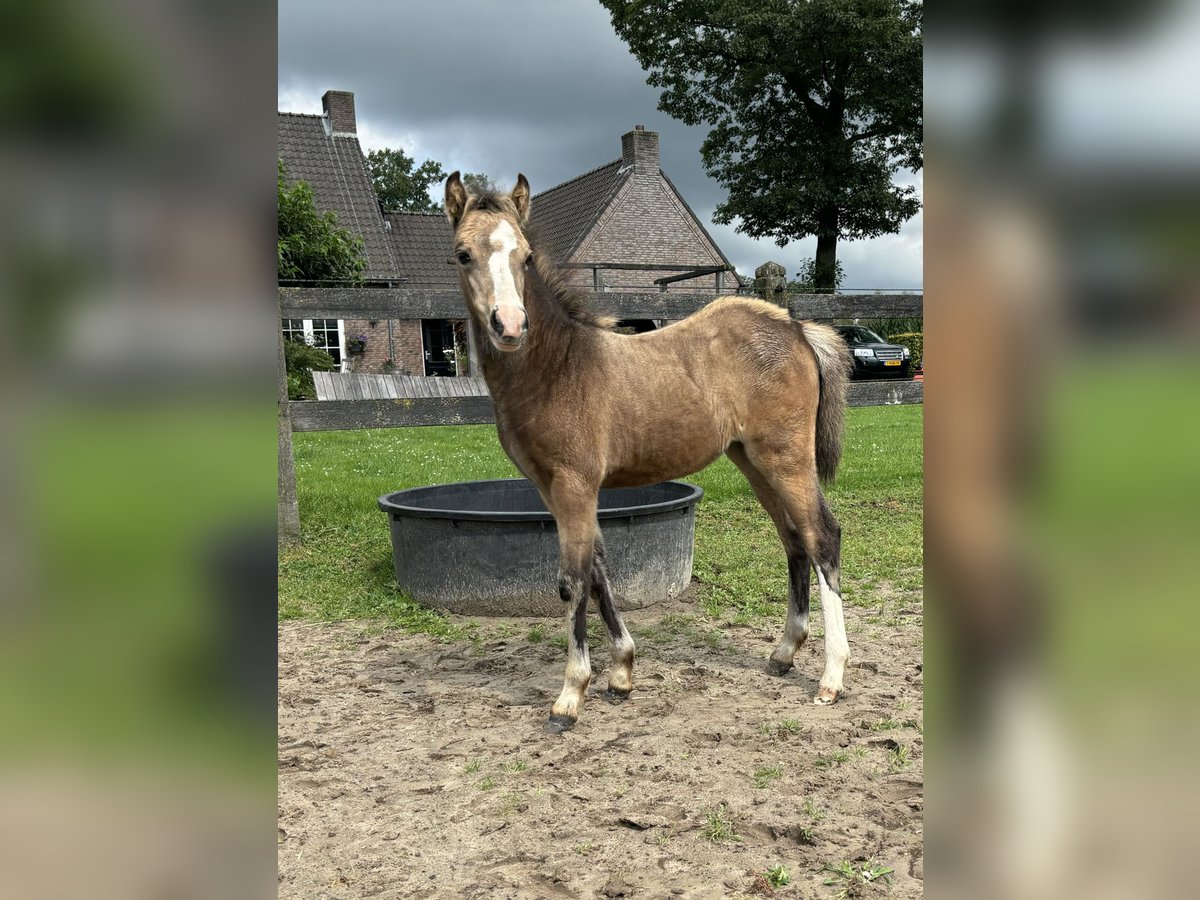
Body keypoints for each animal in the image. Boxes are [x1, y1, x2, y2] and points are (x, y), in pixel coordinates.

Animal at [444, 170, 854, 734]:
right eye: (463, 254)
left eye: (525, 256)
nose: (510, 325)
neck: (556, 368)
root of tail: (795, 327)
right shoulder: (553, 490)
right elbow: (598, 569)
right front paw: (621, 674)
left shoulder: (574, 485)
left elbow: (573, 581)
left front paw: (569, 697)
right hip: (752, 461)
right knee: (793, 539)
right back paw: (784, 653)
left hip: (786, 456)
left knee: (821, 537)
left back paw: (831, 678)